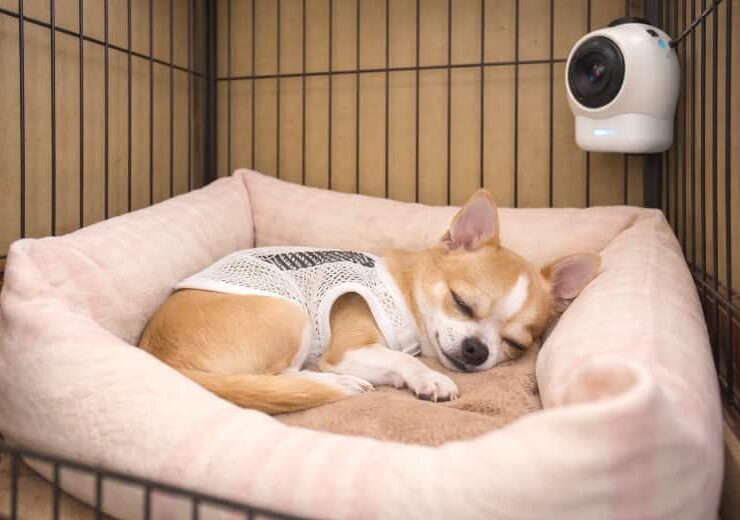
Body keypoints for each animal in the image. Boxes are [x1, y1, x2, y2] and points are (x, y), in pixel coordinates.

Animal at [139, 190, 600, 414]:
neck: (405, 290)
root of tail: (162, 358)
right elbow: (399, 358)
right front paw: (429, 378)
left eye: (516, 344)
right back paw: (333, 384)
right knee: (276, 378)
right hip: (294, 317)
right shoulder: (347, 350)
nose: (476, 349)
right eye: (461, 303)